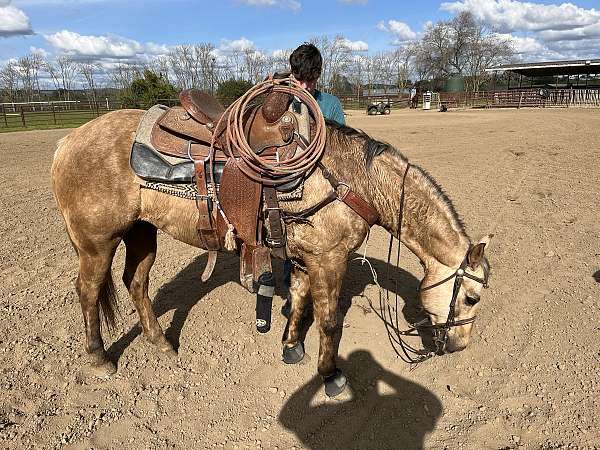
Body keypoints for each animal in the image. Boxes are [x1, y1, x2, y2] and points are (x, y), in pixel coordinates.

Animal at [51, 104, 492, 394]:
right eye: (471, 297)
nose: (459, 345)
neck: (350, 179)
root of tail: (67, 140)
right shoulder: (330, 260)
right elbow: (330, 322)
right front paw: (330, 375)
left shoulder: (306, 258)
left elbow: (299, 300)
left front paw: (292, 345)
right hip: (97, 243)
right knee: (88, 291)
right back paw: (99, 359)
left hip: (142, 233)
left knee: (136, 283)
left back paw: (160, 342)